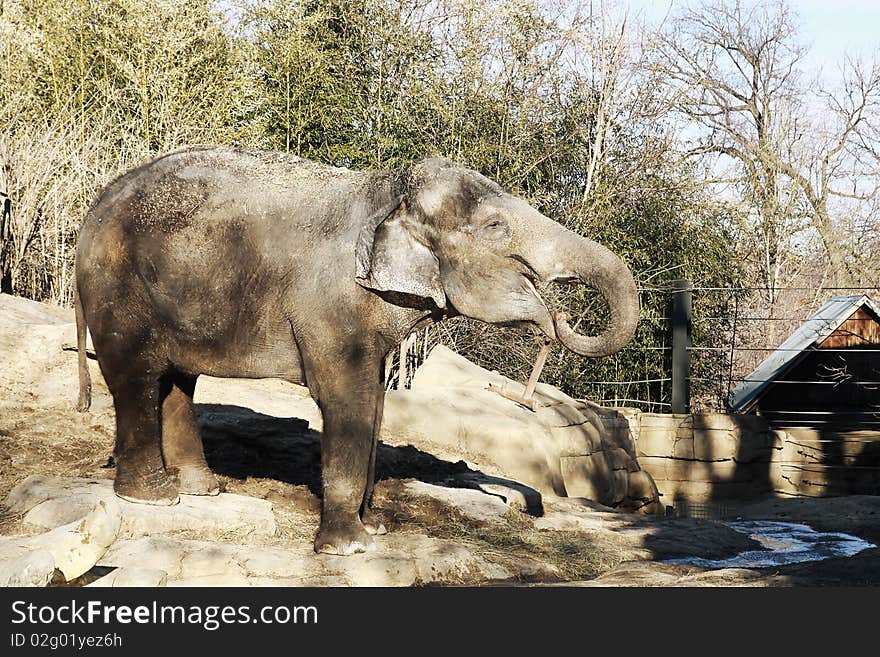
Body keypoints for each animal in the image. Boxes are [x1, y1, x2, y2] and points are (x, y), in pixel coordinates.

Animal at [74, 145, 640, 552]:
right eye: (495, 227)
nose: (559, 315)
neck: (386, 192)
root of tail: (95, 205)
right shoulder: (330, 305)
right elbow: (348, 400)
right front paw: (350, 549)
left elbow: (377, 404)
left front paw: (377, 530)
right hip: (117, 289)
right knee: (137, 378)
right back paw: (155, 499)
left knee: (178, 382)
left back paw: (202, 490)